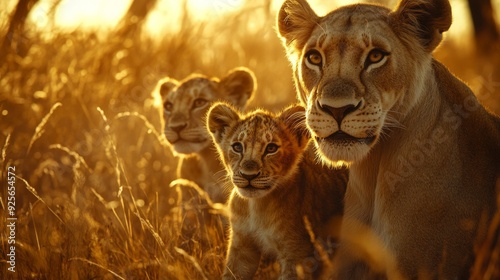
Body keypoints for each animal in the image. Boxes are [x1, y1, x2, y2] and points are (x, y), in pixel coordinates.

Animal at [207, 103, 348, 280]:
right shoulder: (242, 248)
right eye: (237, 147)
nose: (248, 175)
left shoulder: (298, 255)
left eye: (271, 148)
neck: (256, 208)